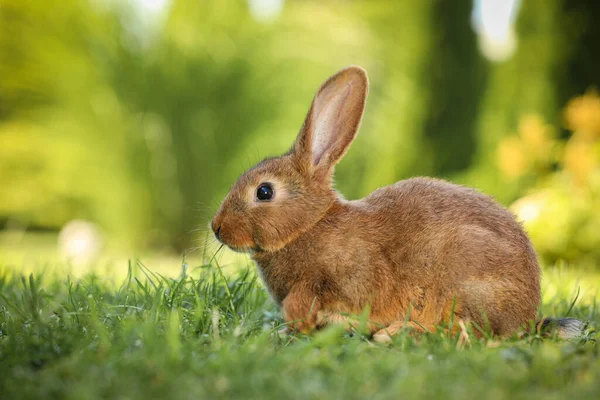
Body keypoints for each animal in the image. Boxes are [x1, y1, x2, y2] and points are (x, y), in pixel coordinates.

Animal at [211, 67, 584, 342]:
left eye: (263, 192)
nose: (216, 228)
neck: (309, 226)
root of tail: (528, 314)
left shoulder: (346, 277)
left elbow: (309, 300)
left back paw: (396, 333)